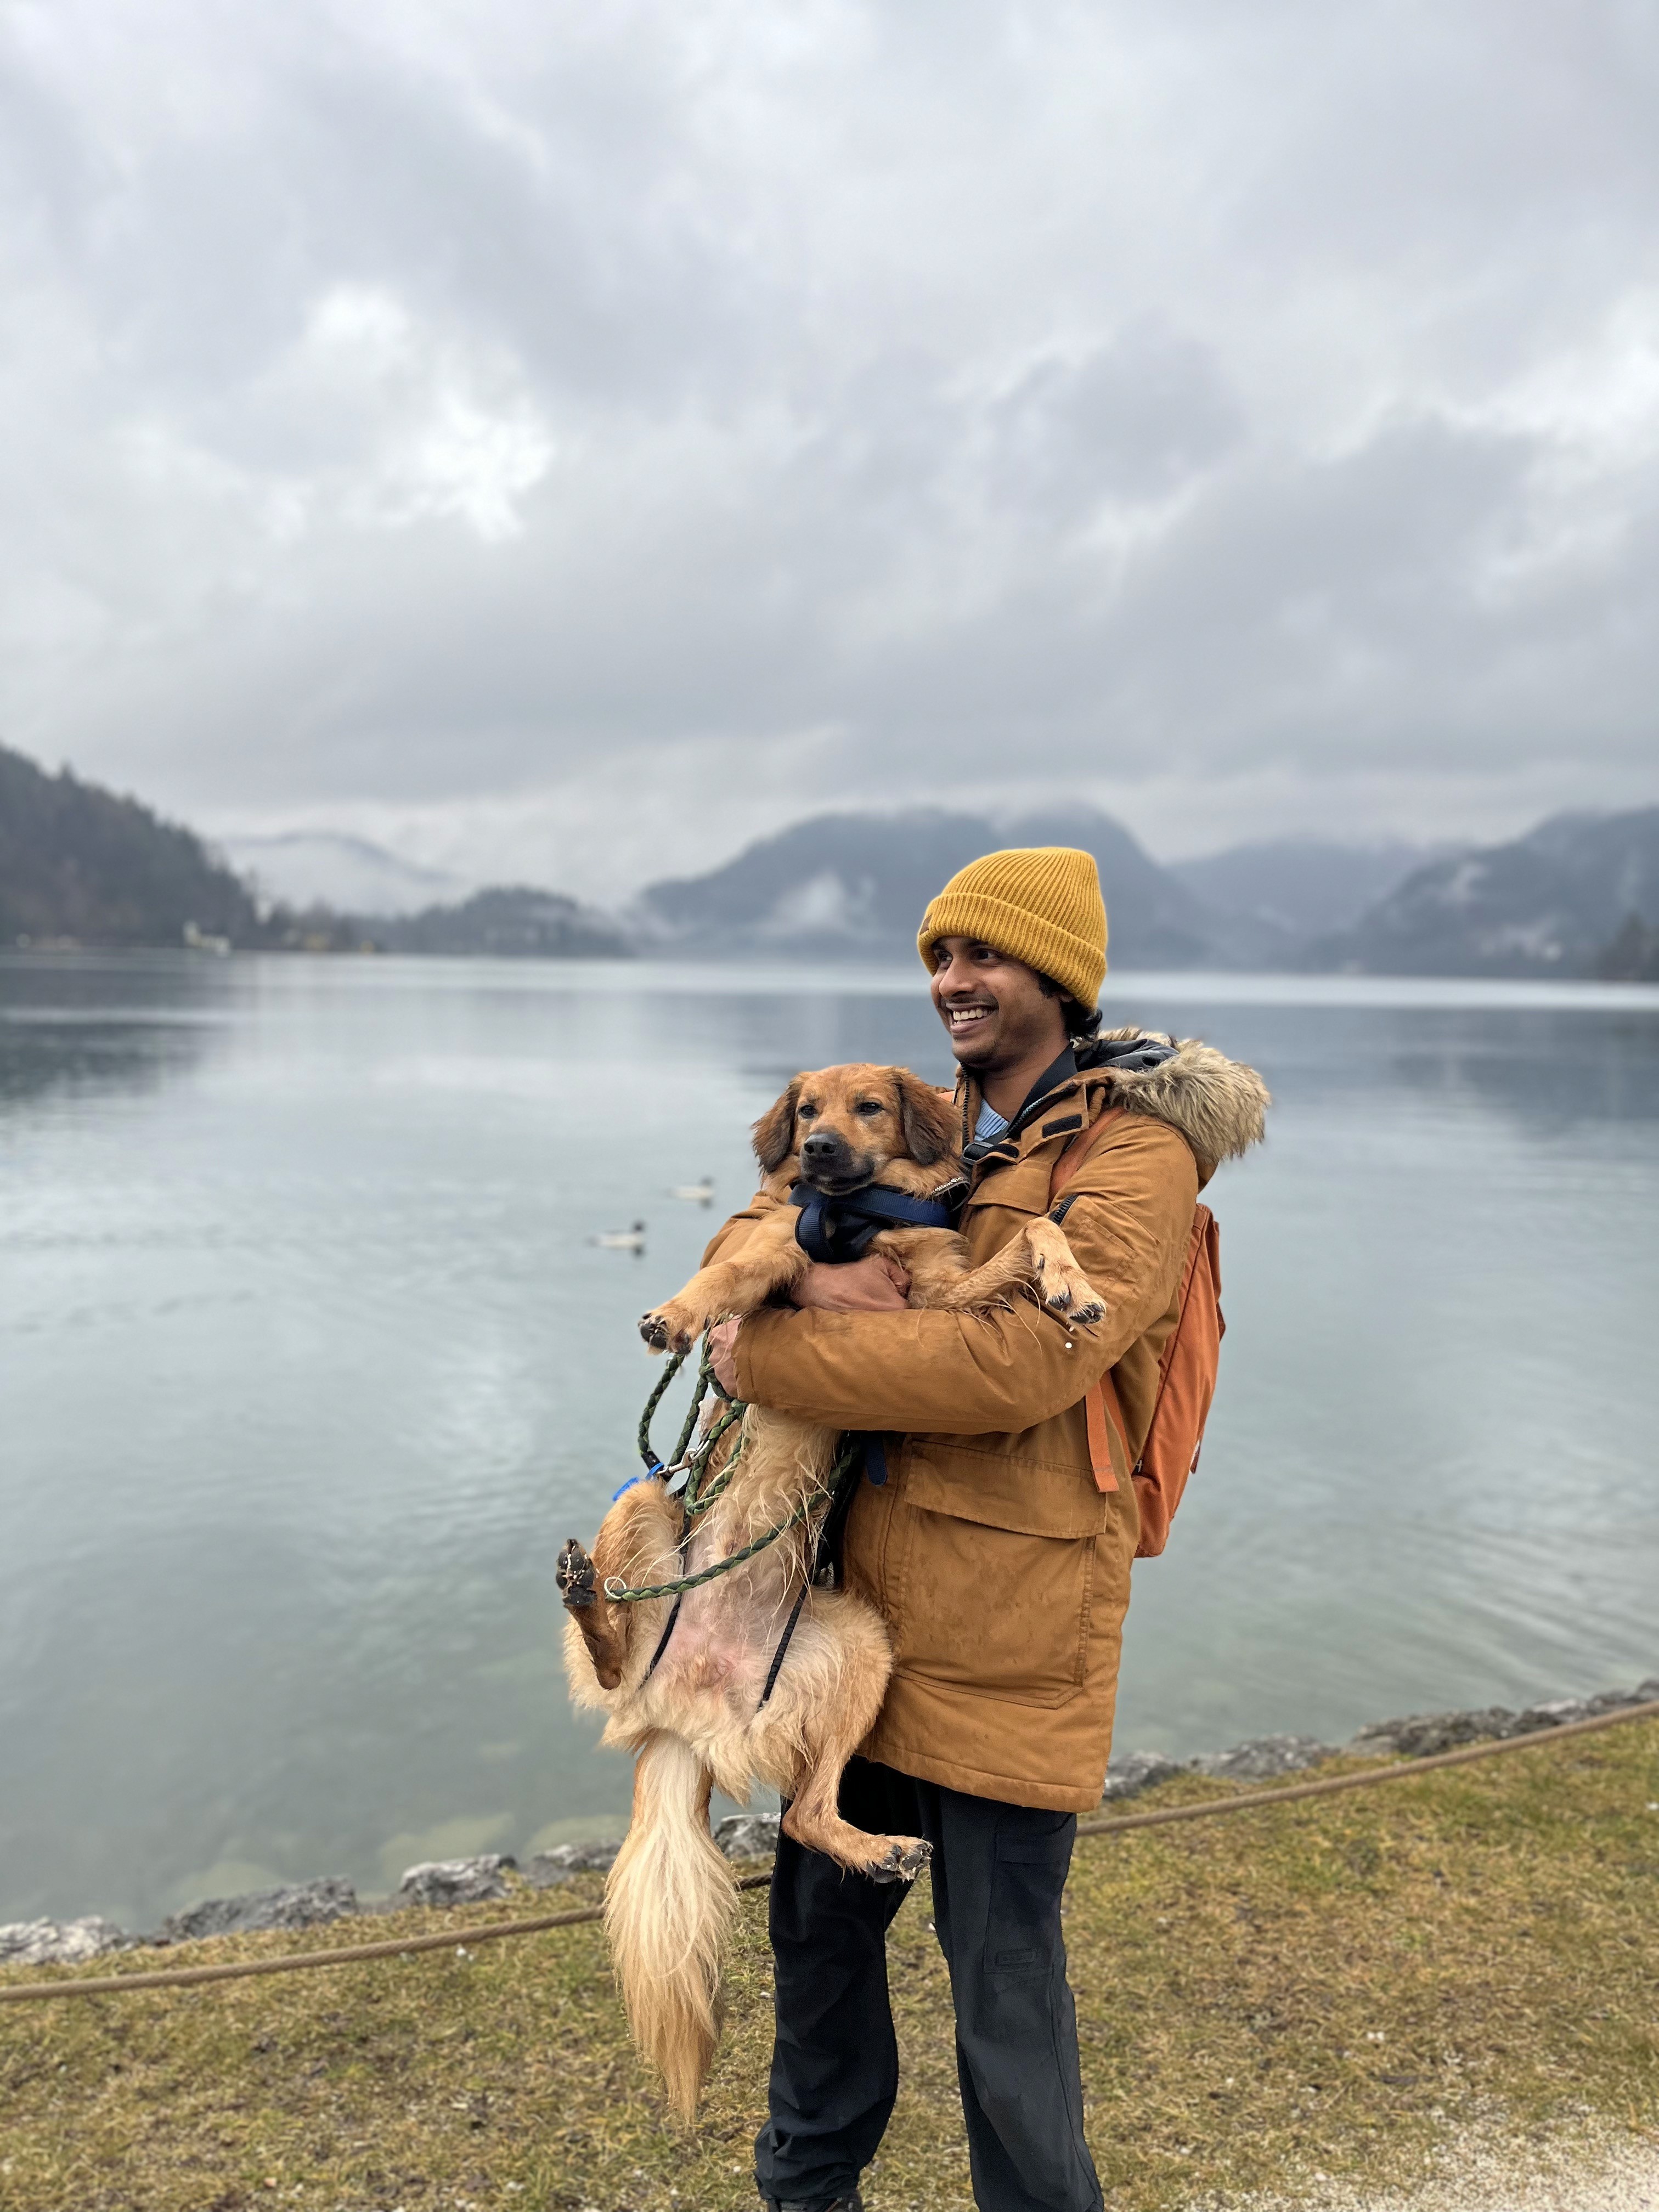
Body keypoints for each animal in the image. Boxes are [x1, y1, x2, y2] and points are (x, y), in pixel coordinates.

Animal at [560, 1062, 1106, 2114]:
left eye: (869, 1108)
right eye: (806, 1108)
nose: (812, 1149)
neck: (859, 1214)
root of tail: (680, 1719)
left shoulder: (942, 1294)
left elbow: (1031, 1231)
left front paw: (1071, 1281)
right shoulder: (776, 1248)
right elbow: (725, 1274)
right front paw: (673, 1316)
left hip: (863, 1647)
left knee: (812, 1815)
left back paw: (878, 1848)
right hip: (649, 1497)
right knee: (611, 1651)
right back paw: (584, 1597)